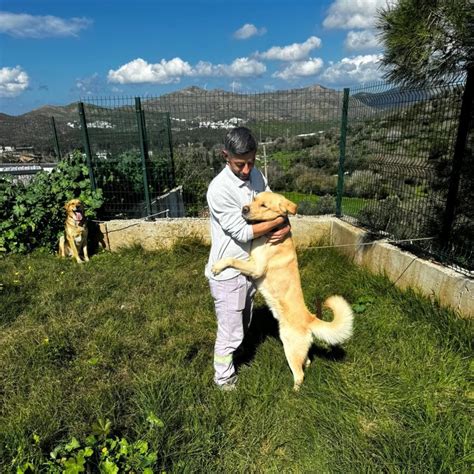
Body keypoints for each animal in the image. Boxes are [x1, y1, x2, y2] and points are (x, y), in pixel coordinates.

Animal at [213, 191, 354, 390]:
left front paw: (218, 267)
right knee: (307, 362)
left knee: (300, 374)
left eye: (264, 205)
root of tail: (310, 318)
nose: (244, 209)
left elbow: (232, 259)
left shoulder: (256, 268)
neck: (269, 236)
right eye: (254, 199)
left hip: (290, 347)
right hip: (298, 348)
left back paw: (293, 391)